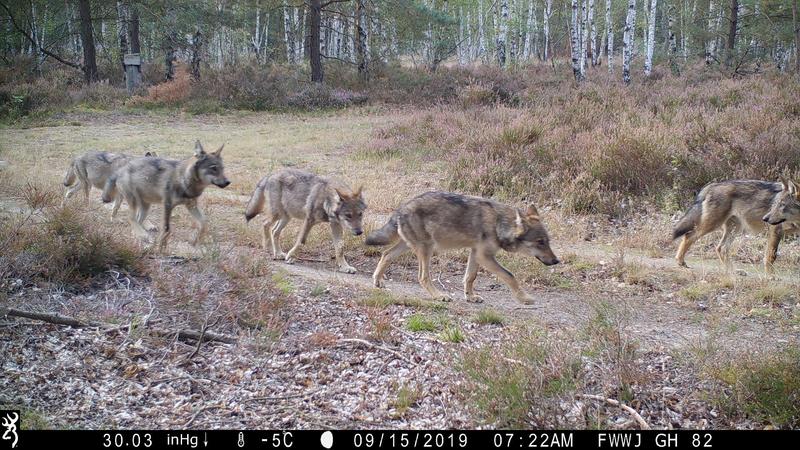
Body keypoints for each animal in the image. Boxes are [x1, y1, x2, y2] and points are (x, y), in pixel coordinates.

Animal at [101, 141, 230, 251]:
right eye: (213, 168)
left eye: (222, 168)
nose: (228, 182)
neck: (184, 181)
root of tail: (120, 169)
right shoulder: (167, 205)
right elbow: (167, 228)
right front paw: (161, 248)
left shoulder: (191, 205)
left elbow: (203, 223)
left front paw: (195, 240)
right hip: (134, 202)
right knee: (130, 218)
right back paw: (144, 236)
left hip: (145, 207)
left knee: (136, 222)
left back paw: (141, 242)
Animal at [366, 192, 560, 304]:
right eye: (540, 242)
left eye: (548, 241)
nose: (556, 261)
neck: (499, 223)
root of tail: (401, 208)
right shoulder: (484, 257)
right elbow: (510, 276)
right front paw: (524, 298)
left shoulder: (476, 254)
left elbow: (470, 277)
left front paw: (470, 296)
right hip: (427, 249)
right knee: (422, 276)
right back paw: (438, 296)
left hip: (409, 246)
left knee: (385, 254)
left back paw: (377, 281)